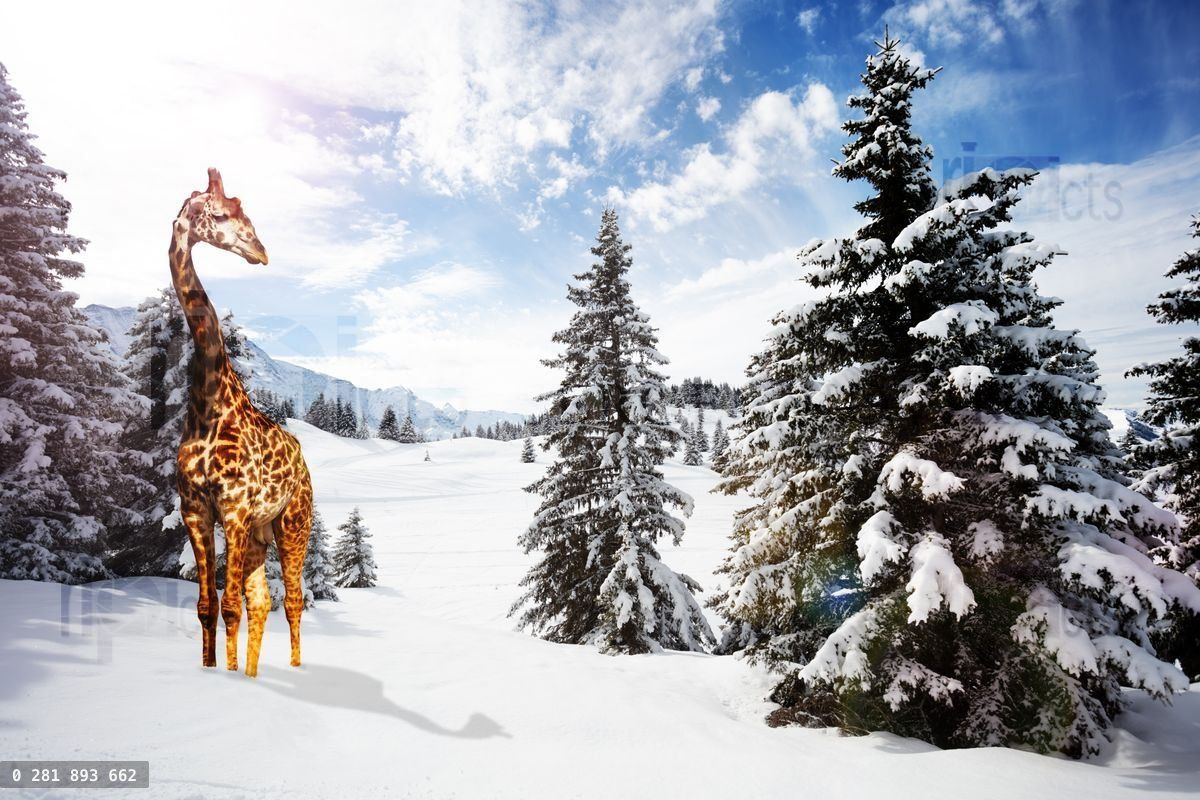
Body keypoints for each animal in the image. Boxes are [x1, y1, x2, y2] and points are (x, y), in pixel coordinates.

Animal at [171, 168, 312, 677]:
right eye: (220, 215)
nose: (260, 251)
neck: (208, 401)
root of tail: (304, 462)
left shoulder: (232, 507)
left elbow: (229, 606)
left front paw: (229, 678)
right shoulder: (195, 508)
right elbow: (208, 607)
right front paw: (216, 670)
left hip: (294, 523)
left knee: (292, 599)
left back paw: (294, 668)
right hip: (258, 533)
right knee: (262, 601)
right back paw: (251, 672)